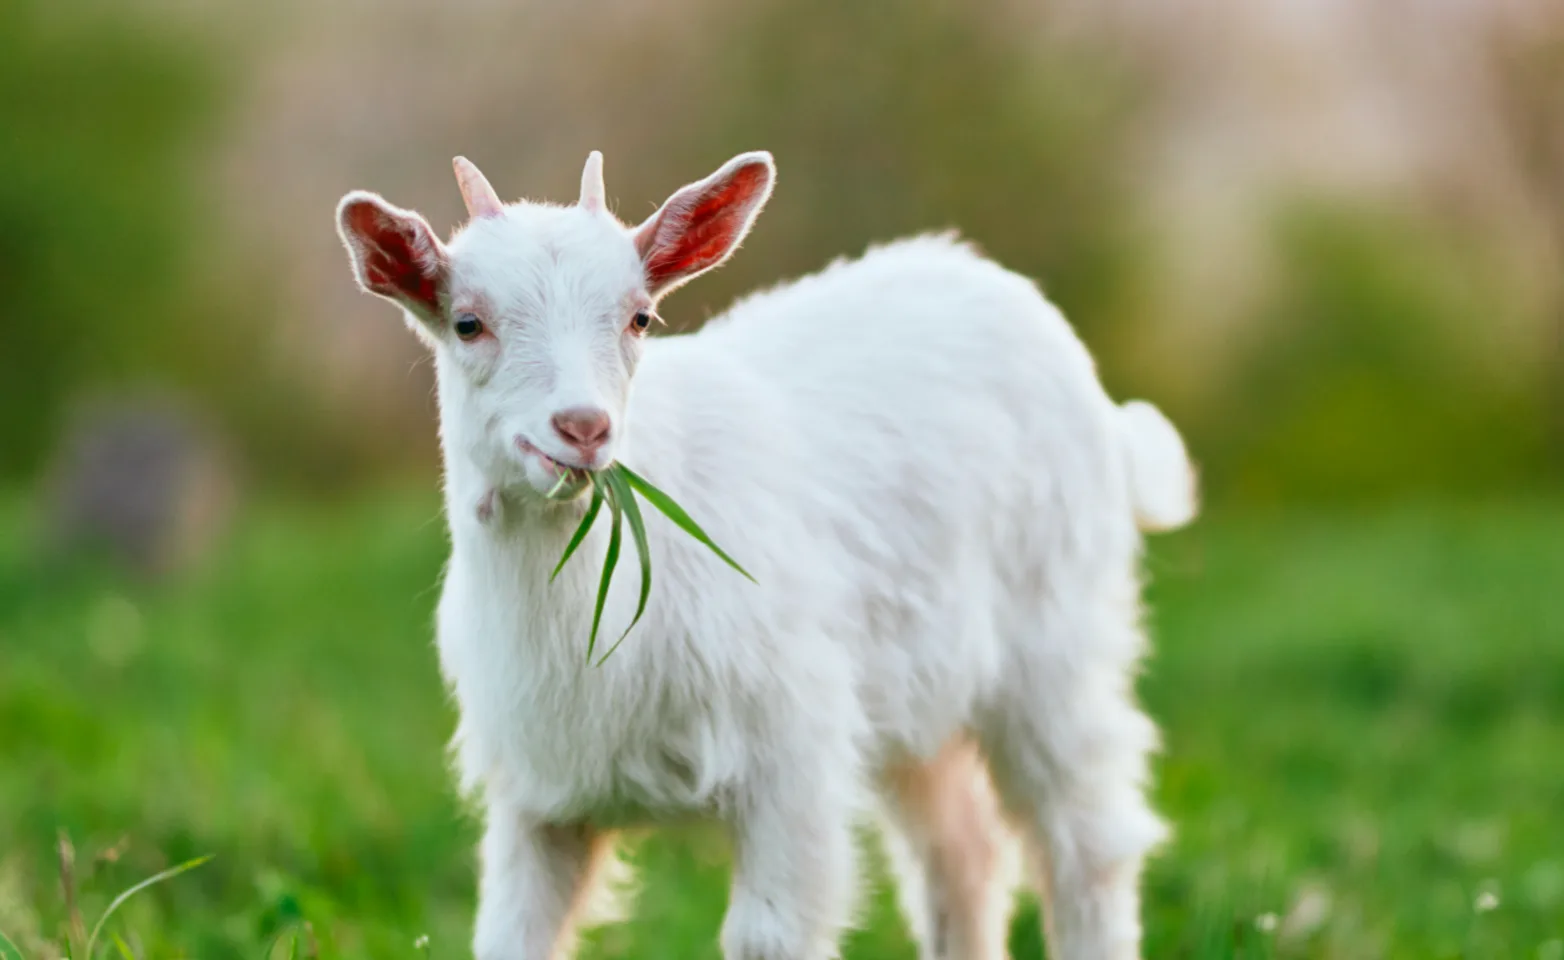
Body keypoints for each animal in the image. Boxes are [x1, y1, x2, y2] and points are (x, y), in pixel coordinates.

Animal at [336, 150, 1194, 960]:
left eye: (640, 318)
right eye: (467, 323)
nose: (582, 428)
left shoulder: (792, 758)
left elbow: (769, 936)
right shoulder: (539, 795)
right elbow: (512, 937)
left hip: (1056, 644)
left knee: (1086, 843)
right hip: (923, 693)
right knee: (964, 854)